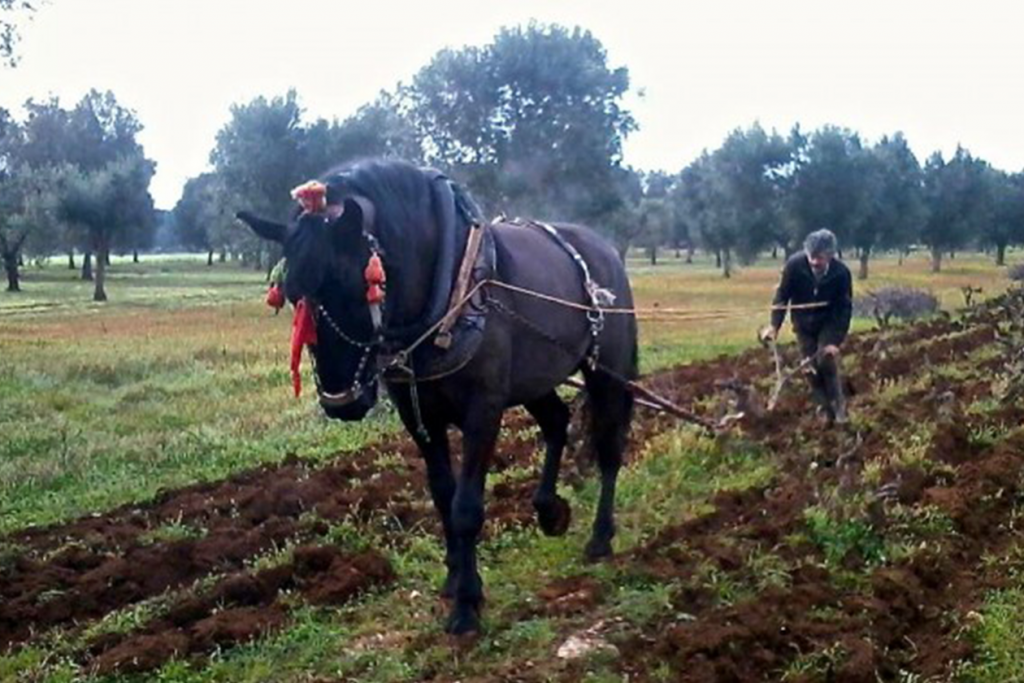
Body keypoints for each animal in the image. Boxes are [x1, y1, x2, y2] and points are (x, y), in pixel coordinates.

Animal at [237, 159, 637, 634]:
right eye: (293, 295)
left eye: (357, 287)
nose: (341, 402)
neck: (448, 290)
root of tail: (604, 248)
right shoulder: (418, 414)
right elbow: (443, 496)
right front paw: (457, 577)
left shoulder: (484, 409)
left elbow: (466, 507)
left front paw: (466, 607)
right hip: (533, 378)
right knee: (557, 422)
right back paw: (548, 510)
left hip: (608, 372)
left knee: (609, 447)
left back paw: (600, 537)